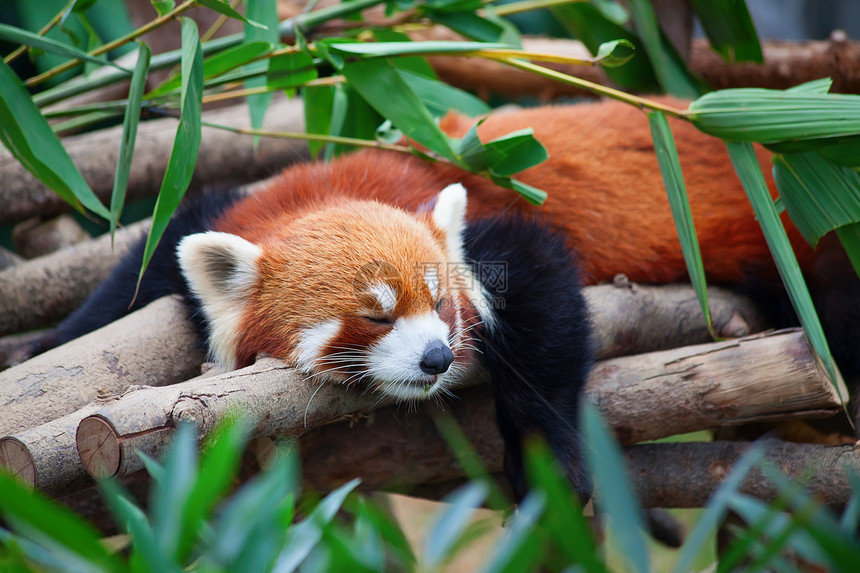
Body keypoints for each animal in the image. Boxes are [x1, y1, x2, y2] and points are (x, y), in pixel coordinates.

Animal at [20, 98, 860, 500]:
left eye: (443, 308)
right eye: (376, 315)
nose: (433, 357)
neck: (338, 188)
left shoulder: (503, 227)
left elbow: (546, 306)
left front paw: (547, 456)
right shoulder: (239, 206)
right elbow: (142, 266)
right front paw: (45, 346)